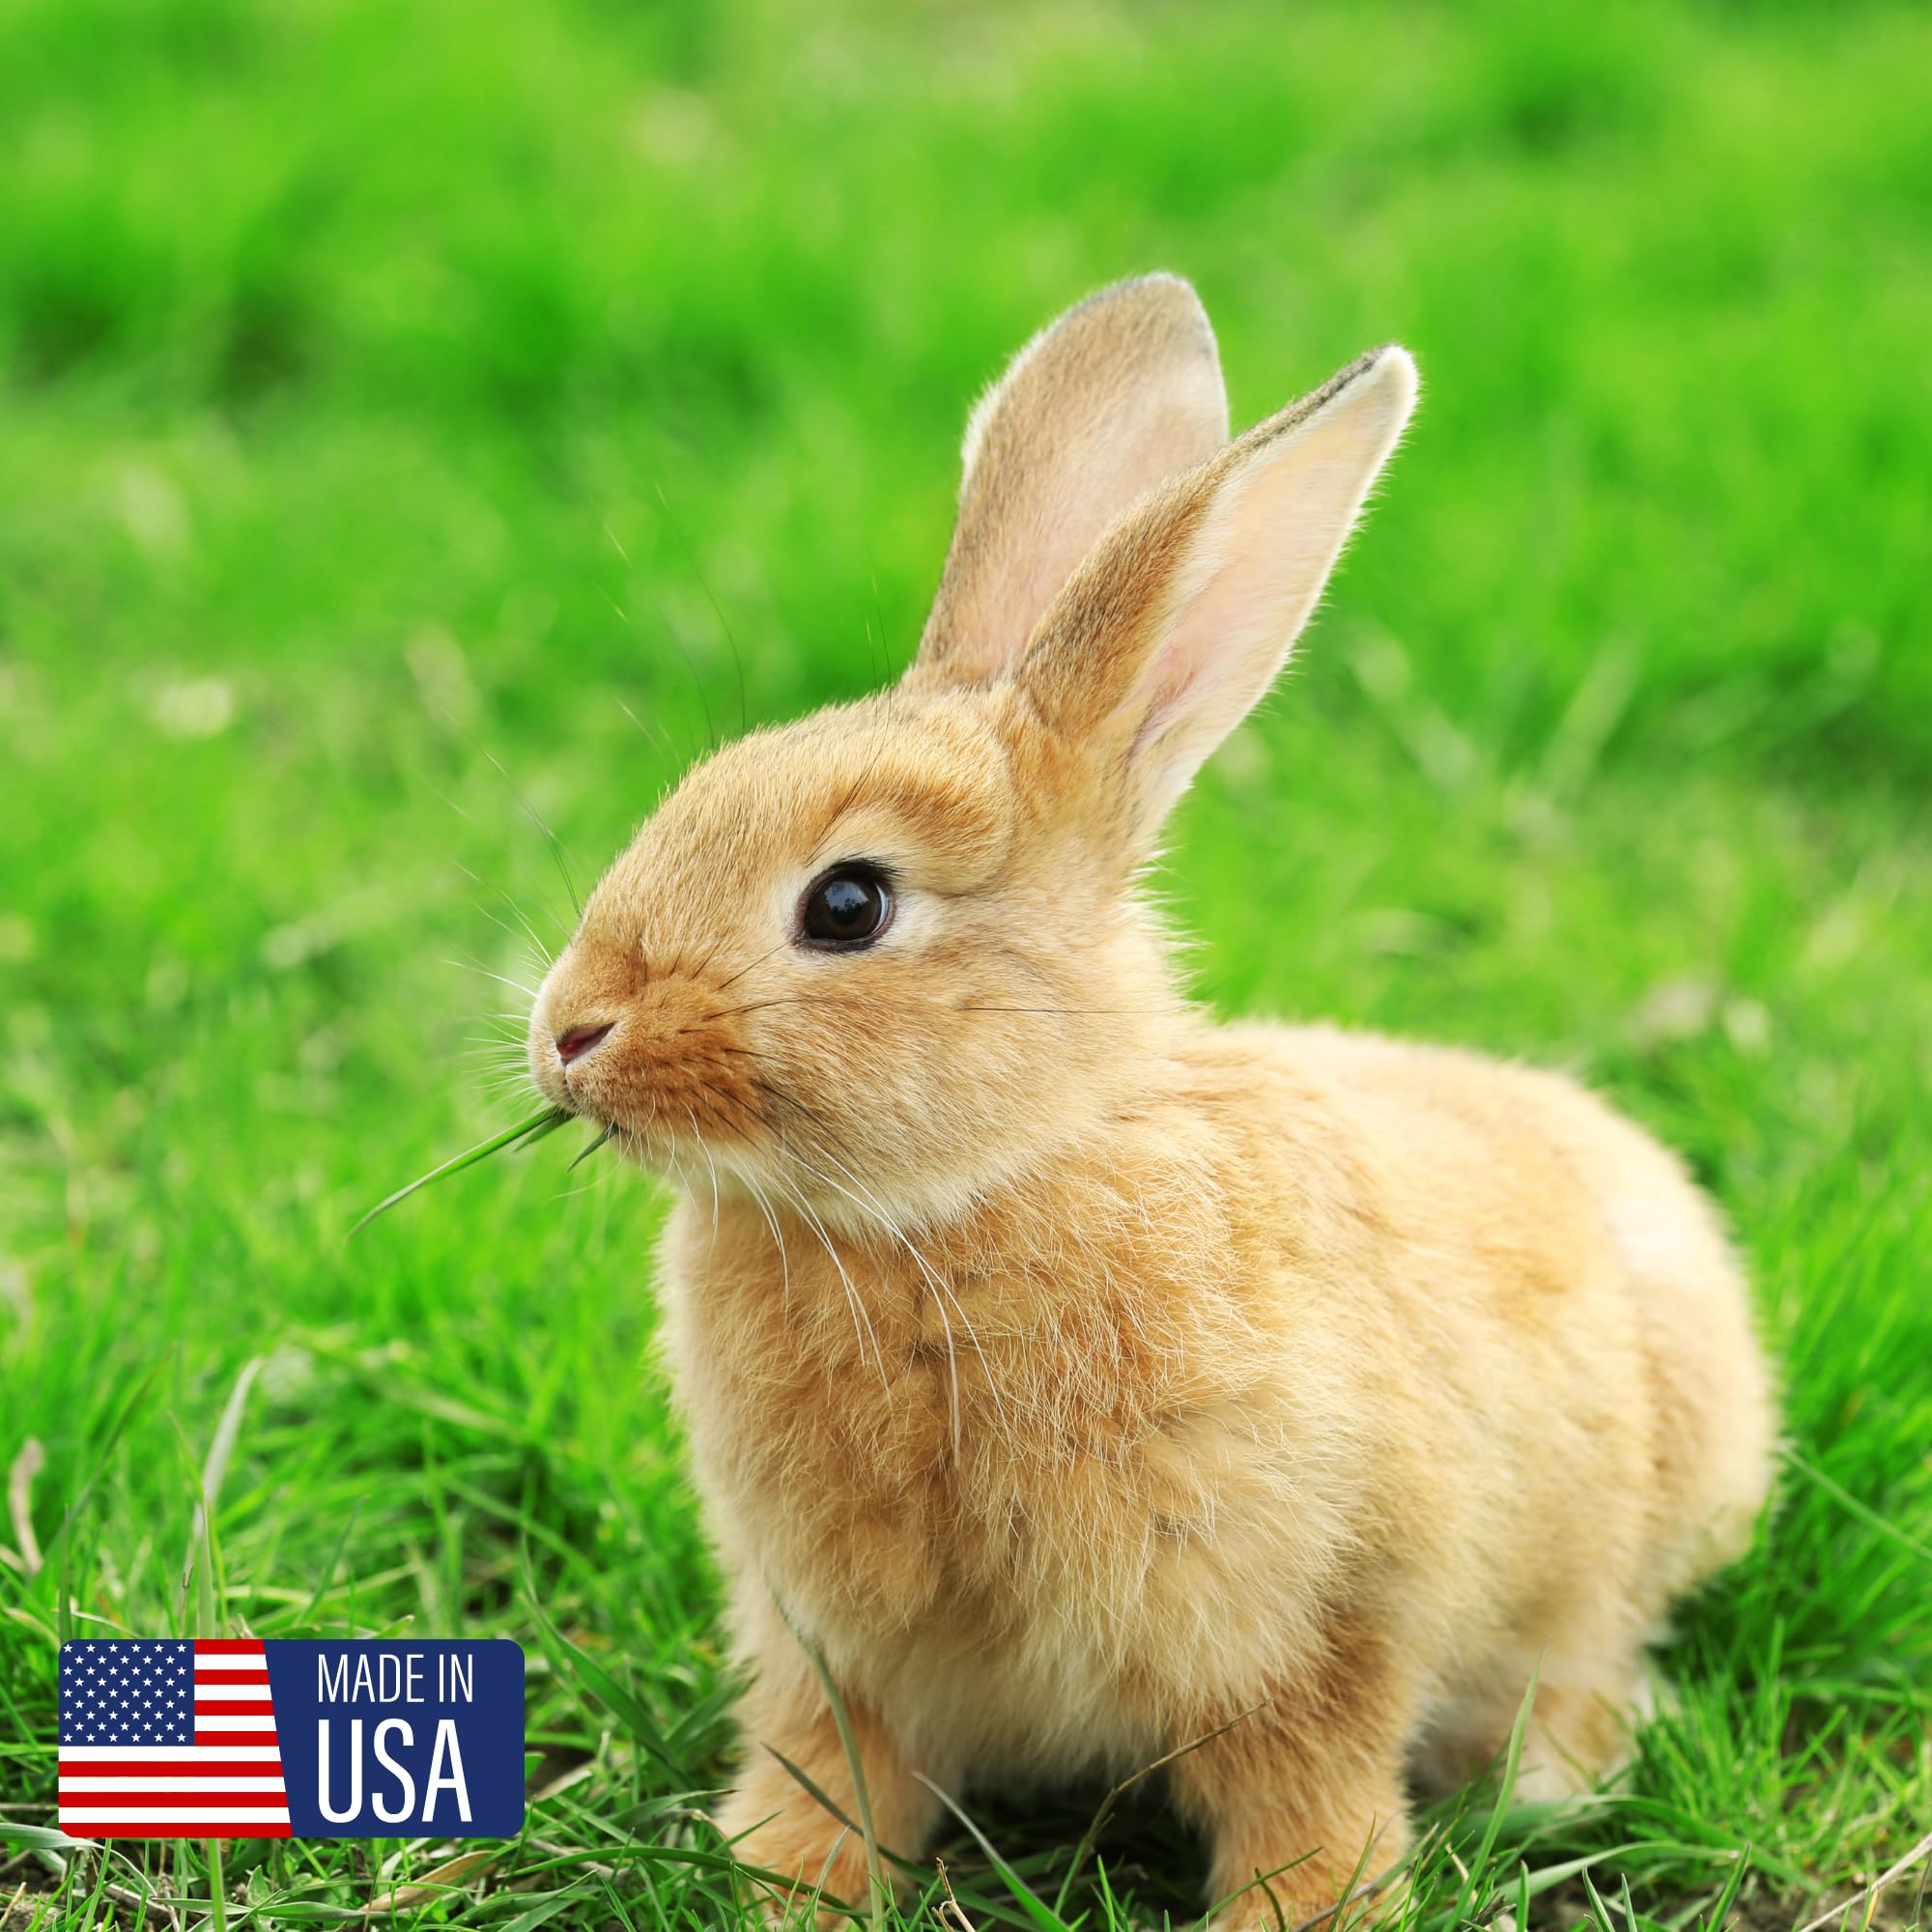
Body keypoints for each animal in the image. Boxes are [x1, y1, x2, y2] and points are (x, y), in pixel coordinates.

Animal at [525, 275, 1777, 1927]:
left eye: (848, 904)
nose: (566, 1032)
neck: (975, 1189)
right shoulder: (836, 1652)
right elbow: (832, 1765)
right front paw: (783, 1881)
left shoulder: (1322, 1614)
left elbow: (1311, 1794)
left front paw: (1307, 1915)